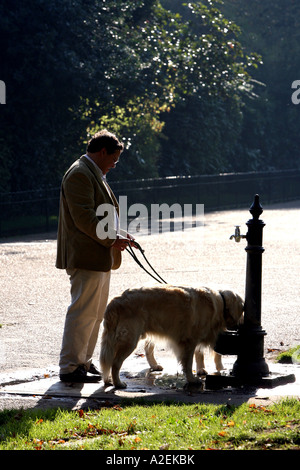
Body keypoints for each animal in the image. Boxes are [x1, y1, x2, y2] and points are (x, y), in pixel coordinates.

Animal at [99, 284, 243, 388]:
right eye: (242, 309)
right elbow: (188, 363)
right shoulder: (189, 341)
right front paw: (192, 379)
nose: (242, 325)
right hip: (129, 339)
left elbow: (198, 356)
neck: (220, 303)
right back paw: (118, 383)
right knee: (115, 363)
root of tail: (115, 301)